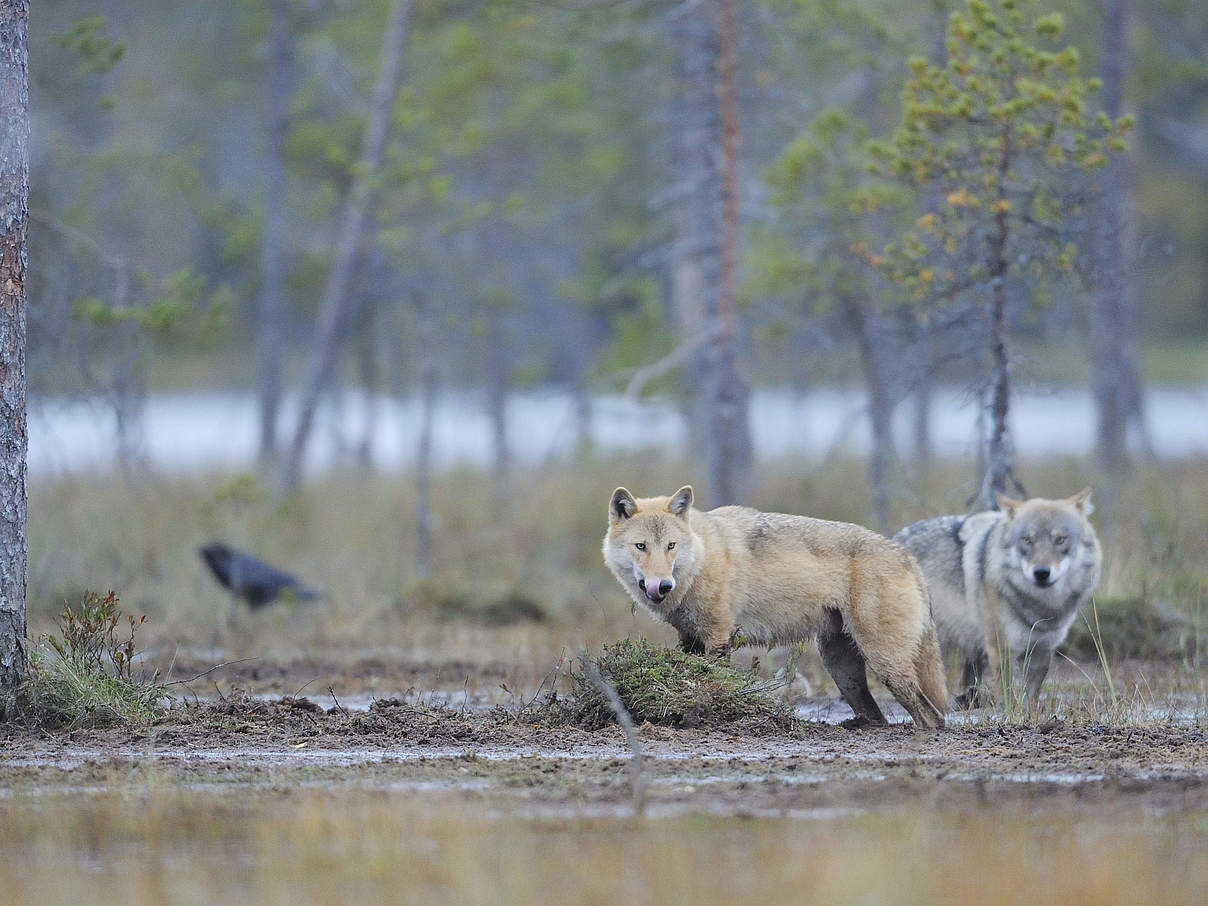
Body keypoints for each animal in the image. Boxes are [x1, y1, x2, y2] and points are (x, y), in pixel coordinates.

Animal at [599, 485, 947, 729]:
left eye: (671, 546)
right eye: (641, 546)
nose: (662, 586)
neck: (703, 555)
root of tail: (906, 555)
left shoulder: (718, 639)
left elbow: (712, 684)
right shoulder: (690, 640)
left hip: (883, 662)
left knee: (932, 717)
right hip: (843, 670)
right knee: (880, 717)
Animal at [898, 490, 1106, 710]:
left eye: (1060, 539)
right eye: (1027, 540)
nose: (1041, 573)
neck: (1040, 607)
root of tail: (896, 537)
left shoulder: (1042, 649)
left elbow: (1031, 696)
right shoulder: (1000, 647)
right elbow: (1007, 693)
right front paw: (1010, 713)